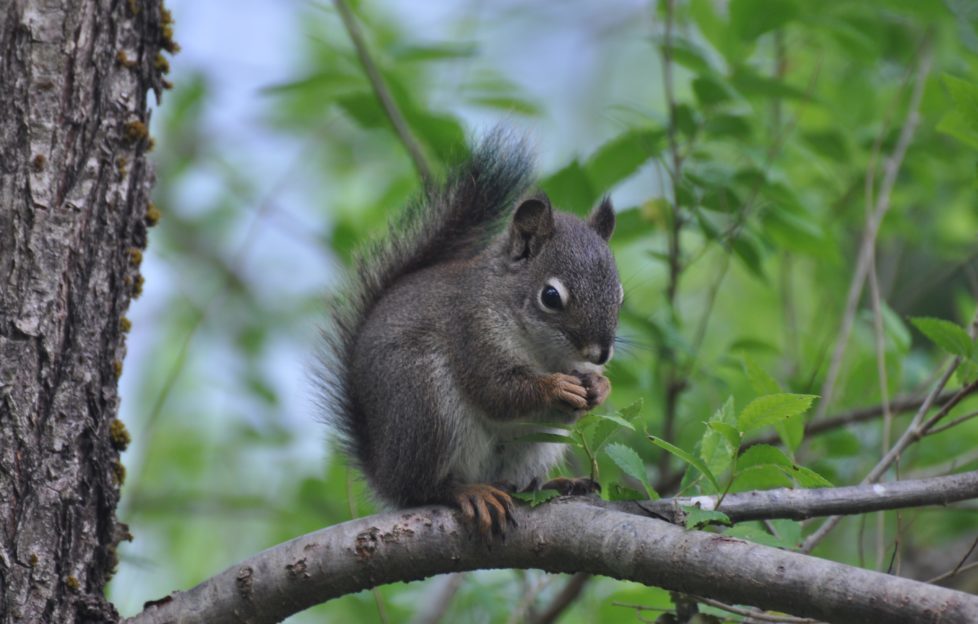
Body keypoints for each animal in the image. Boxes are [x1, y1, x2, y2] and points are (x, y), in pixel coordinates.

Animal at [322, 132, 624, 536]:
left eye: (620, 296)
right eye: (550, 296)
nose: (600, 353)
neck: (543, 351)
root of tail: (385, 473)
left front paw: (600, 387)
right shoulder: (470, 332)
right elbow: (496, 391)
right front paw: (557, 386)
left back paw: (553, 484)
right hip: (425, 405)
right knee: (426, 488)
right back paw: (468, 491)